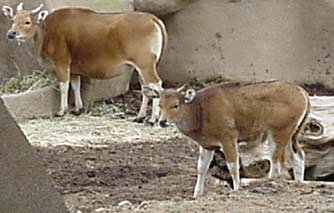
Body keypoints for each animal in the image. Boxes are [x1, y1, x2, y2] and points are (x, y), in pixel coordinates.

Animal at [2, 2, 167, 123]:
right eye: (12, 20)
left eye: (27, 22)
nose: (11, 33)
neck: (46, 31)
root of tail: (152, 19)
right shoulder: (74, 68)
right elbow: (76, 86)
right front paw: (78, 109)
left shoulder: (62, 63)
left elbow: (64, 86)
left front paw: (62, 111)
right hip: (142, 68)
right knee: (147, 88)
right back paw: (140, 116)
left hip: (145, 65)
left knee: (156, 85)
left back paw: (152, 119)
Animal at [144, 81, 310, 198]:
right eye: (160, 105)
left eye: (176, 105)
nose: (162, 121)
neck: (199, 111)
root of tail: (302, 93)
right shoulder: (207, 145)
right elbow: (201, 168)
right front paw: (197, 194)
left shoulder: (228, 138)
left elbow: (233, 165)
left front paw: (236, 189)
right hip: (292, 135)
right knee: (298, 156)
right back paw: (299, 182)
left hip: (277, 133)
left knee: (276, 163)